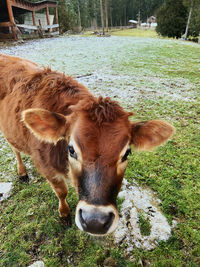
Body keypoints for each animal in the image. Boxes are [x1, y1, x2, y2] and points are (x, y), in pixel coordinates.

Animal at [0, 53, 175, 236]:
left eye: (126, 153)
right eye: (71, 150)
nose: (95, 221)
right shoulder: (46, 169)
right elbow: (61, 192)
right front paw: (64, 214)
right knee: (14, 149)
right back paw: (22, 172)